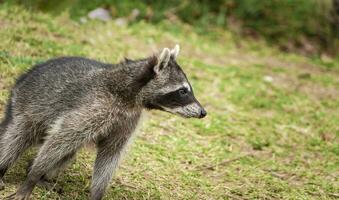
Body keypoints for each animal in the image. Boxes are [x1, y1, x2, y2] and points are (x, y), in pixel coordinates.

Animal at [0, 45, 207, 200]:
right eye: (183, 91)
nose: (203, 112)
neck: (129, 94)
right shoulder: (93, 107)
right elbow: (61, 138)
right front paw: (32, 177)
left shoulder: (127, 120)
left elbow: (110, 155)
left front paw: (97, 192)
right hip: (25, 106)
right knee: (15, 139)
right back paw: (12, 169)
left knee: (66, 154)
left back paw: (37, 172)